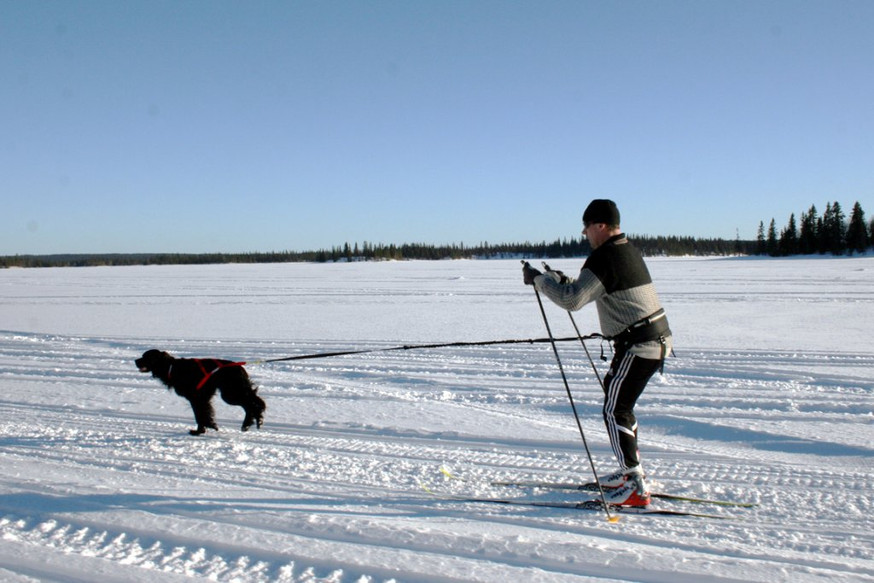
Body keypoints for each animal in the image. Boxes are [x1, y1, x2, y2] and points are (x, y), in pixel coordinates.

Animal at [135, 350, 264, 436]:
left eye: (145, 357)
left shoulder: (196, 398)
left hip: (230, 393)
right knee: (251, 403)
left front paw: (200, 430)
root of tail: (240, 368)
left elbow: (200, 415)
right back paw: (250, 423)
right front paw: (204, 428)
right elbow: (203, 414)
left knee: (252, 403)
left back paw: (254, 421)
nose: (135, 360)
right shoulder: (202, 399)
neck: (171, 367)